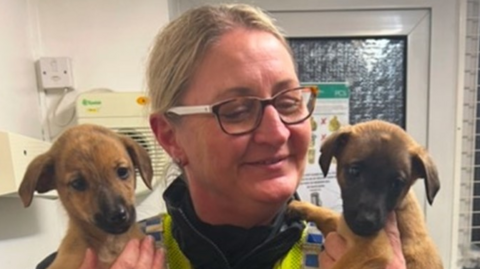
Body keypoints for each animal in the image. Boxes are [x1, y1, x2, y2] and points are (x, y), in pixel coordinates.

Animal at [288, 119, 442, 268]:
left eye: (397, 183)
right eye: (354, 171)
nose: (366, 221)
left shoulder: (373, 248)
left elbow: (340, 265)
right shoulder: (346, 226)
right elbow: (330, 216)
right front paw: (302, 207)